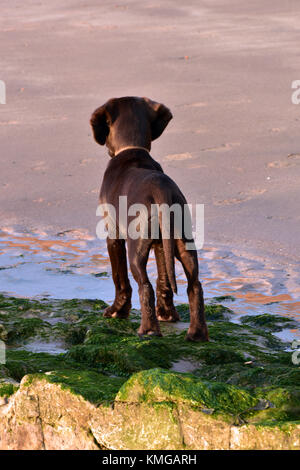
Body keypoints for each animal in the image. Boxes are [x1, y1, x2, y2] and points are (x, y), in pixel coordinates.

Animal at [91, 96, 209, 342]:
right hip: (184, 243)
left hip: (136, 248)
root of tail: (160, 189)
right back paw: (197, 333)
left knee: (144, 285)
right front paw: (167, 313)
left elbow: (119, 278)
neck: (132, 151)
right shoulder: (162, 244)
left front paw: (117, 311)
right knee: (194, 286)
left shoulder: (113, 234)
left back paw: (148, 330)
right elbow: (164, 277)